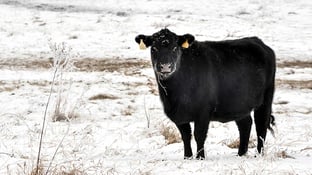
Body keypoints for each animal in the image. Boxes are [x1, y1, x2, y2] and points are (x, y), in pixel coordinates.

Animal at [135, 29, 276, 160]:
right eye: (154, 48)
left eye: (175, 48)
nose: (165, 67)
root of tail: (258, 41)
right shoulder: (178, 115)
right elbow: (186, 135)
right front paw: (187, 157)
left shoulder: (203, 111)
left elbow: (199, 135)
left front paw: (200, 157)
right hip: (239, 103)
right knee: (245, 124)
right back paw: (241, 154)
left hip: (266, 98)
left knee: (261, 126)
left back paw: (258, 154)